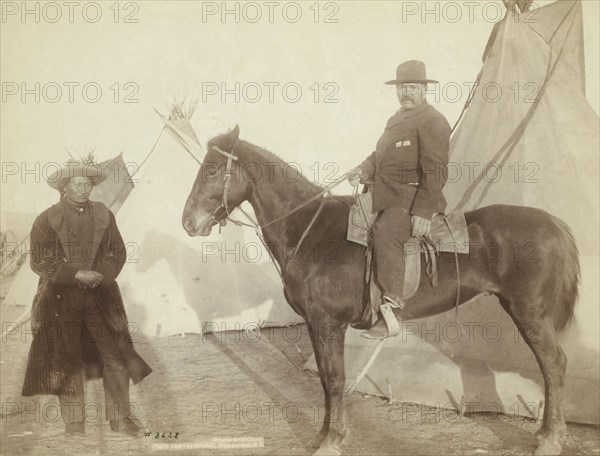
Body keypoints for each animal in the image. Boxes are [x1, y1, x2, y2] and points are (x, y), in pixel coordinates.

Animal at [180, 125, 580, 456]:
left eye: (212, 170)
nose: (188, 222)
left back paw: (550, 439)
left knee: (553, 365)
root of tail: (553, 223)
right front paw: (322, 435)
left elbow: (335, 380)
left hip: (530, 313)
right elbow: (324, 380)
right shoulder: (315, 324)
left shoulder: (328, 323)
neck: (309, 231)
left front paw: (333, 440)